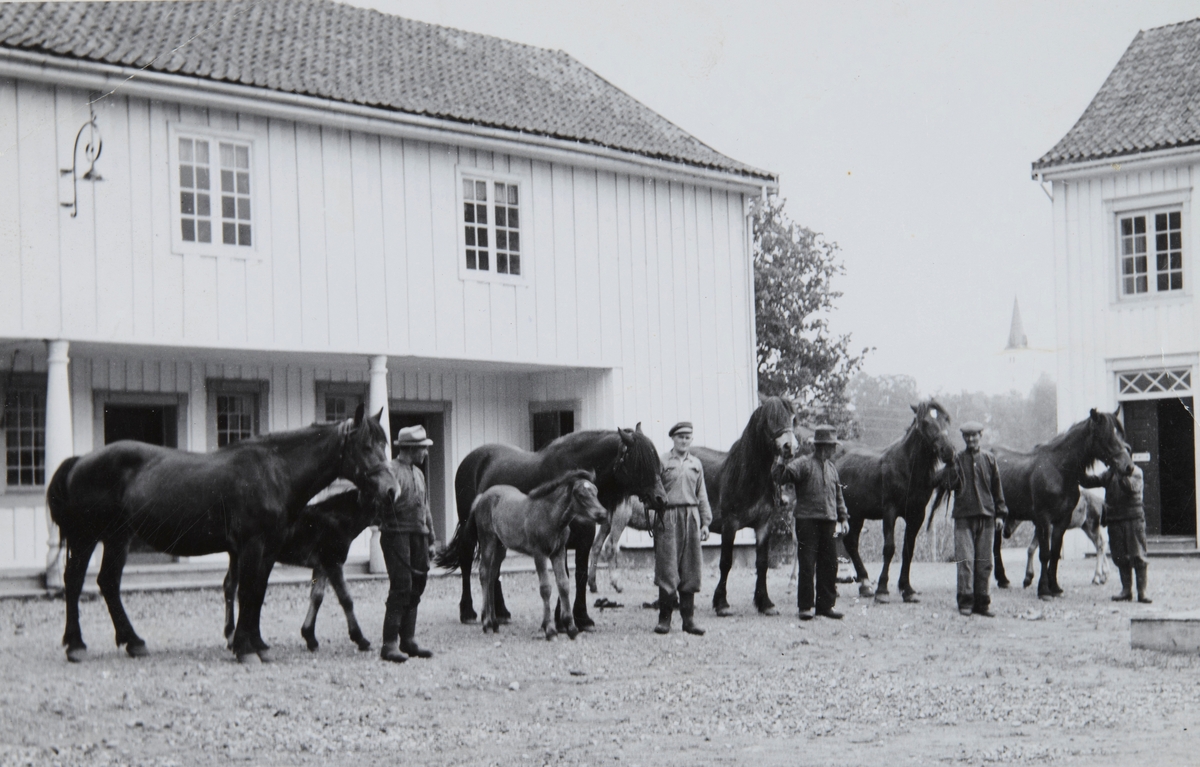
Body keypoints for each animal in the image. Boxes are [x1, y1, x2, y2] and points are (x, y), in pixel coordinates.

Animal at [48, 405, 393, 662]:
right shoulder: (252, 545)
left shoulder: (269, 548)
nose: (390, 489)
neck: (273, 472)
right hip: (86, 537)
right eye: (365, 446)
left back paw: (133, 642)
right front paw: (244, 648)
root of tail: (79, 461)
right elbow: (247, 592)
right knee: (75, 580)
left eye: (385, 444)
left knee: (108, 582)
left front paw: (258, 644)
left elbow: (257, 592)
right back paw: (76, 645)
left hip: (117, 537)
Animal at [448, 427, 667, 628]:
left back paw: (501, 612)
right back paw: (468, 612)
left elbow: (579, 575)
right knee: (467, 562)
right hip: (472, 530)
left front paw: (581, 617)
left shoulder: (583, 540)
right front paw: (562, 619)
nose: (661, 499)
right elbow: (566, 576)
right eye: (640, 463)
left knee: (495, 568)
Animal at [696, 396, 796, 619]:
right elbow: (725, 562)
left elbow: (762, 563)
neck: (748, 476)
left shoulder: (763, 525)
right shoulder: (730, 524)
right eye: (770, 419)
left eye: (791, 417)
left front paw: (765, 603)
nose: (790, 447)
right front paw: (722, 604)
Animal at [835, 398, 955, 602]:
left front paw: (908, 589)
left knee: (851, 543)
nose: (948, 451)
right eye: (925, 422)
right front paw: (882, 590)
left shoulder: (917, 515)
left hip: (857, 516)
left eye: (947, 419)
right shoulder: (889, 512)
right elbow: (889, 548)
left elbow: (908, 550)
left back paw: (865, 585)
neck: (907, 468)